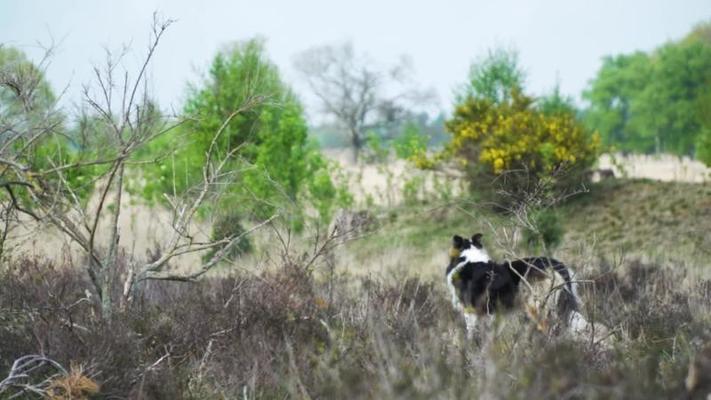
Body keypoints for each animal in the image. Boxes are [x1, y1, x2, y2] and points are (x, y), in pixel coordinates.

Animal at [444, 233, 588, 336]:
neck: (468, 257)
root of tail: (557, 265)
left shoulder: (470, 312)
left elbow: (472, 332)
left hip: (537, 303)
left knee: (550, 325)